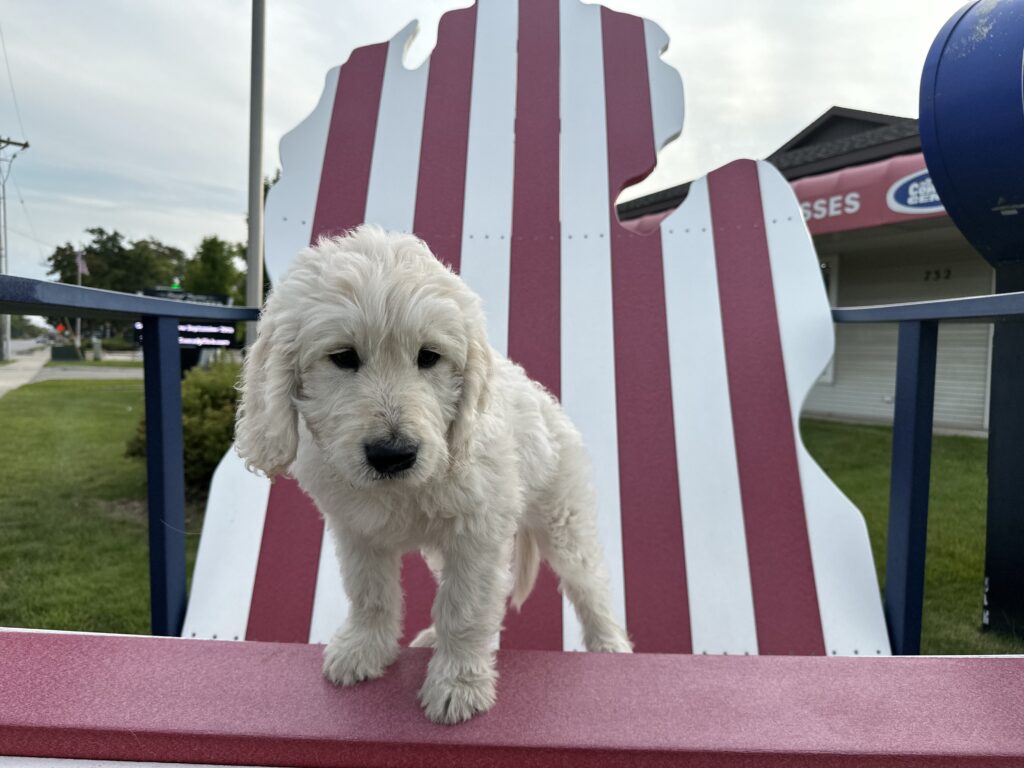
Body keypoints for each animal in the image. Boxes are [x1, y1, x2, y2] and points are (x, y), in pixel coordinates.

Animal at [235, 225, 631, 724]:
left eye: (429, 357)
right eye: (343, 357)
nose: (392, 455)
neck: (403, 489)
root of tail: (549, 402)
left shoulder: (477, 534)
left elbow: (465, 609)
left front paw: (457, 684)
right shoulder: (356, 531)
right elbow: (371, 593)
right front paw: (364, 650)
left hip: (563, 518)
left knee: (589, 584)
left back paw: (610, 646)